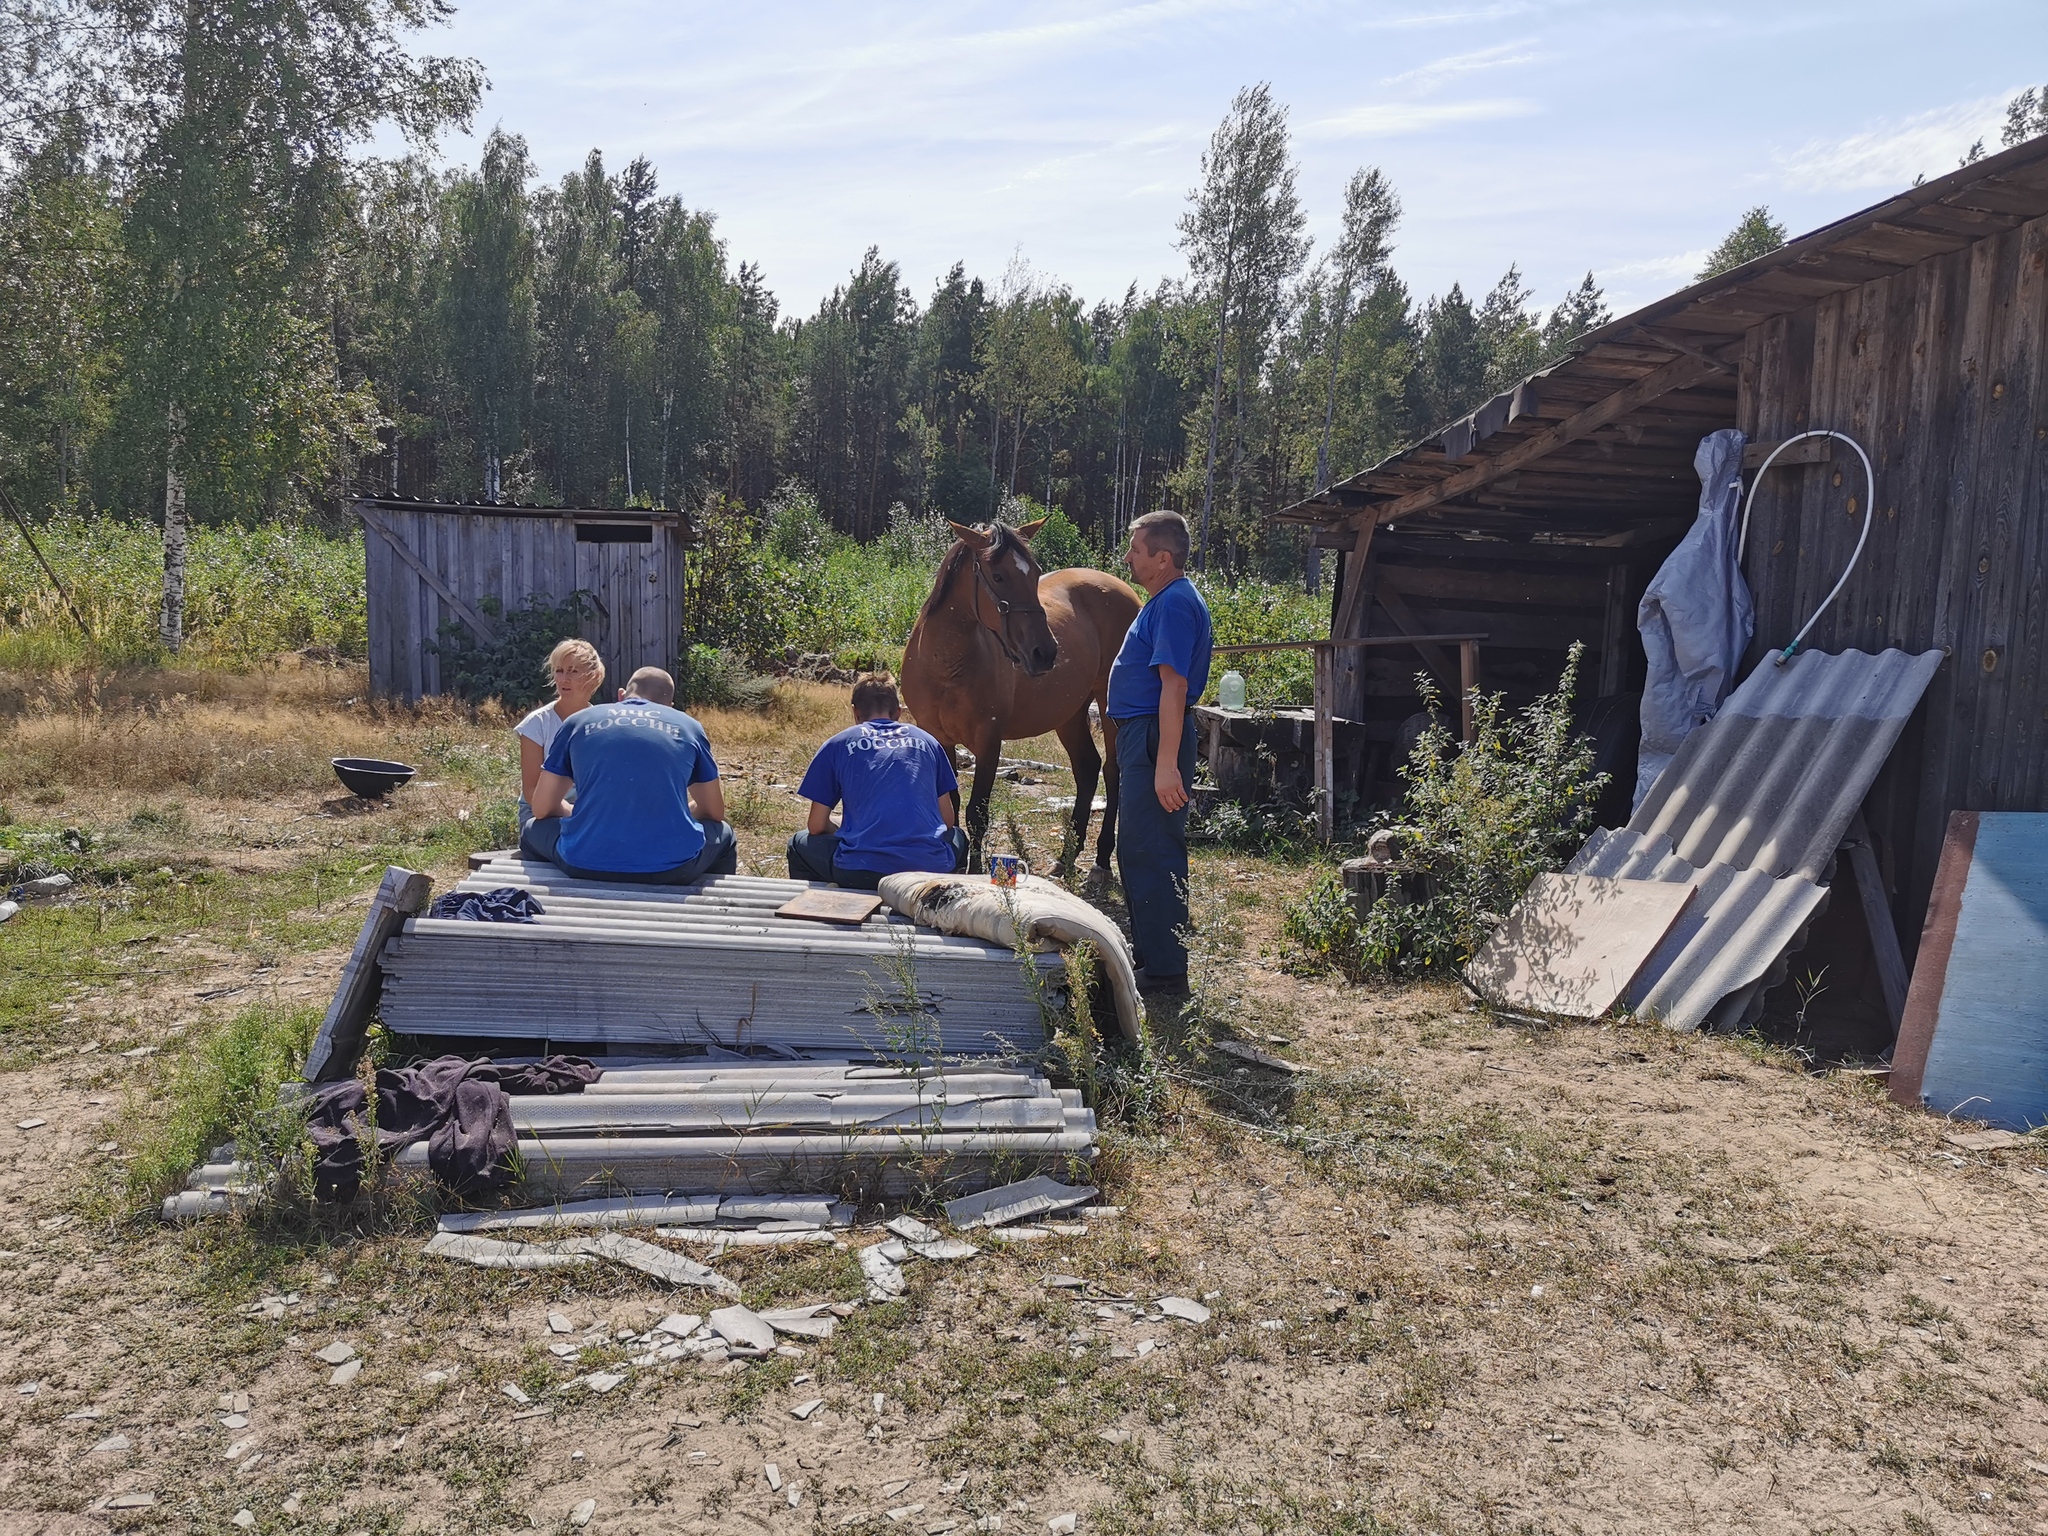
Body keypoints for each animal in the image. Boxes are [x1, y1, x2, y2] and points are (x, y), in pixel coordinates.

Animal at [905, 520, 1146, 872]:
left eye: (1035, 573)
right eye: (998, 576)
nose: (1044, 653)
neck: (944, 666)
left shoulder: (988, 742)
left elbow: (977, 813)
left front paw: (972, 872)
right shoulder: (939, 738)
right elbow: (951, 801)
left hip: (1107, 706)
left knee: (1113, 772)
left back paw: (1101, 856)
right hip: (1070, 712)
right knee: (1087, 767)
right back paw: (1066, 856)